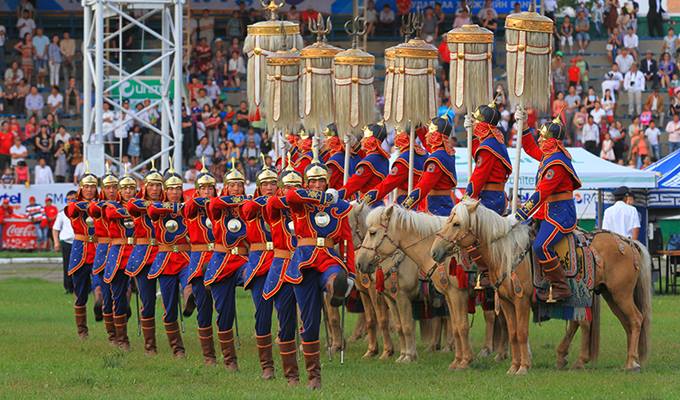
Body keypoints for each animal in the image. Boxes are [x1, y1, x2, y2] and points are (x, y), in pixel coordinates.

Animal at [358, 205, 476, 370]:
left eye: (372, 232)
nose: (359, 262)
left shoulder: (404, 297)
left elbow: (408, 326)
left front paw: (408, 356)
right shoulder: (391, 298)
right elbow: (399, 326)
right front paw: (402, 355)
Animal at [430, 200, 652, 376]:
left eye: (457, 223)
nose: (435, 251)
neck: (507, 253)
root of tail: (628, 242)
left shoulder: (521, 301)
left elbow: (521, 333)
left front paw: (523, 368)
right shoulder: (507, 303)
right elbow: (512, 334)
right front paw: (513, 366)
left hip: (620, 294)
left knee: (635, 320)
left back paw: (631, 364)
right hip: (610, 295)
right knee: (621, 324)